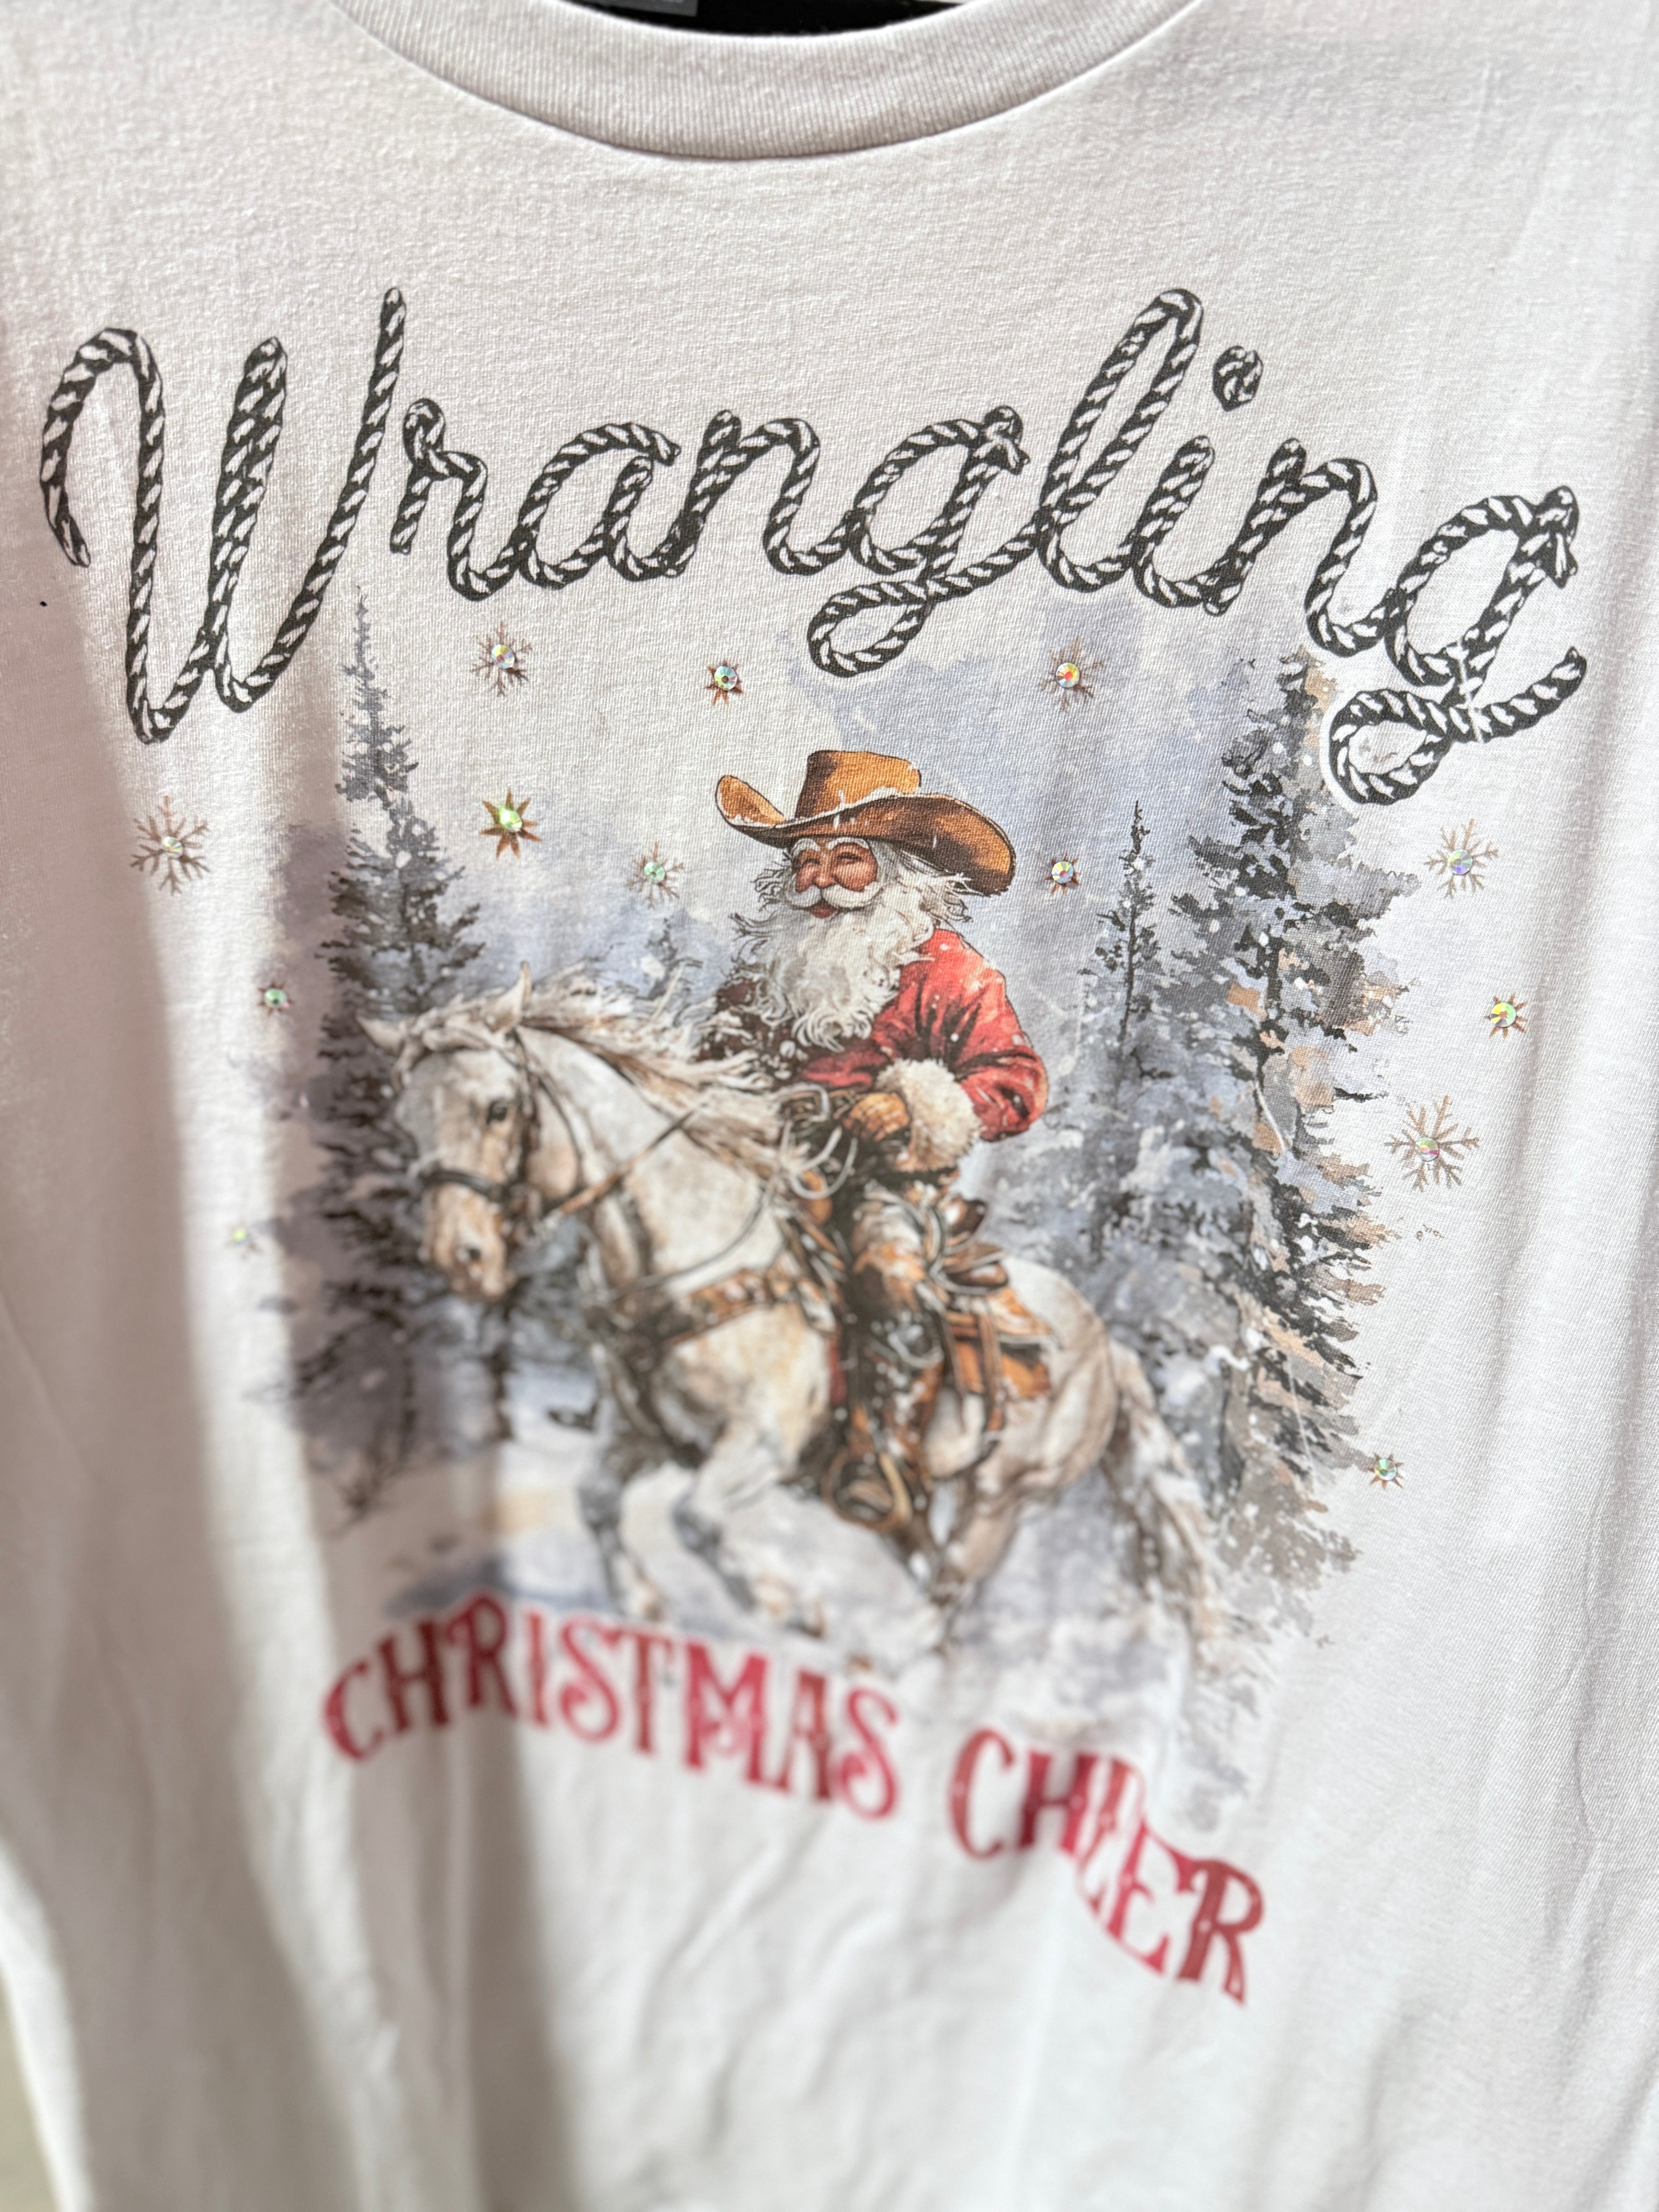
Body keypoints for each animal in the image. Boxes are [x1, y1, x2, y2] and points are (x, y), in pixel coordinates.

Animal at [362, 966, 1221, 1644]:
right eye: (406, 1118)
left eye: (498, 1108)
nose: (458, 1254)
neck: (692, 1257)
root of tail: (1106, 1344)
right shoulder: (639, 1432)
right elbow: (597, 1500)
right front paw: (641, 1601)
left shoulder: (760, 1444)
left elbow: (695, 1518)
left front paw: (785, 1605)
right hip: (909, 1506)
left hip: (1001, 1498)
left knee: (949, 1589)